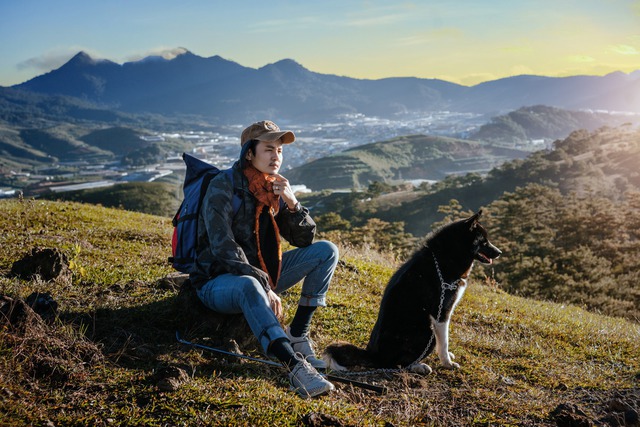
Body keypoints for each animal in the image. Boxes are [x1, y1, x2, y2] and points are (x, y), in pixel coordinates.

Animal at [324, 211, 500, 374]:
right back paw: (418, 366)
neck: (444, 257)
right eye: (484, 241)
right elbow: (444, 341)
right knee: (397, 364)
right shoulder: (440, 313)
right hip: (427, 330)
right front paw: (447, 362)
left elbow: (444, 342)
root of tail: (375, 355)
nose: (500, 252)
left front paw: (447, 357)